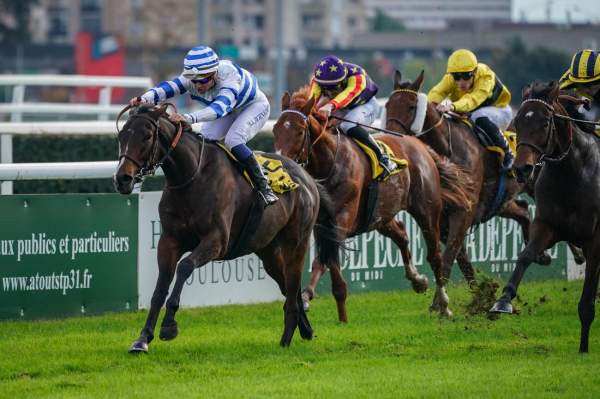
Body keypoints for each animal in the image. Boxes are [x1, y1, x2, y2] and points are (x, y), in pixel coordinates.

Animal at [112, 104, 338, 352]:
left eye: (147, 136)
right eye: (122, 136)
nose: (122, 179)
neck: (193, 175)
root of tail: (308, 178)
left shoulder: (216, 241)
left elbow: (185, 266)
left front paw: (169, 325)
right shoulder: (169, 240)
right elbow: (160, 287)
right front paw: (142, 339)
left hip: (296, 242)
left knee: (293, 284)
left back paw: (286, 339)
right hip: (268, 250)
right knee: (290, 288)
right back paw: (305, 330)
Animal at [272, 86, 474, 318]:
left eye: (299, 131)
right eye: (275, 130)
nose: (282, 162)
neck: (331, 162)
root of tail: (419, 144)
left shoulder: (341, 220)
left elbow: (323, 260)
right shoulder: (321, 224)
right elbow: (321, 260)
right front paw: (305, 297)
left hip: (427, 211)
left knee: (435, 256)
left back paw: (443, 303)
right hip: (380, 215)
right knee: (401, 233)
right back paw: (418, 280)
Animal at [492, 81, 600, 354]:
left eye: (545, 123)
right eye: (518, 121)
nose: (522, 169)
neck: (573, 173)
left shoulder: (595, 240)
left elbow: (587, 299)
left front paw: (584, 347)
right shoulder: (547, 225)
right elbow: (525, 256)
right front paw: (503, 300)